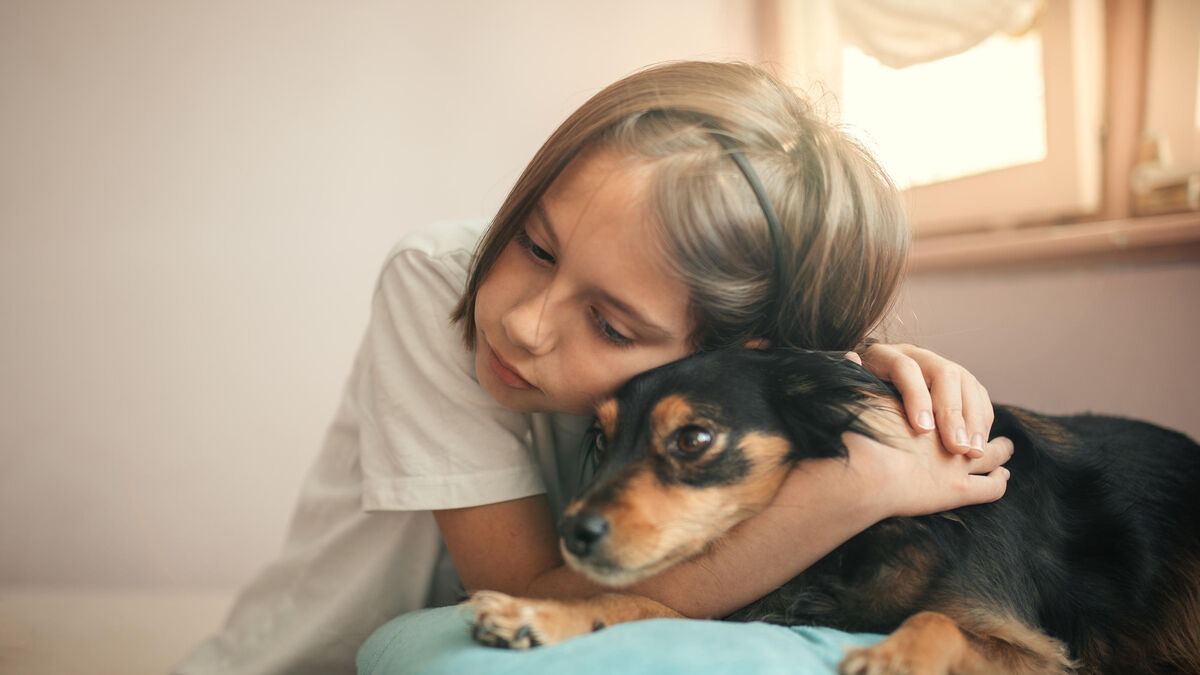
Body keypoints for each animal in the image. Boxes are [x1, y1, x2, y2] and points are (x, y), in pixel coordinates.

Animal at [465, 348, 1200, 667]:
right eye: (605, 439)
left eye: (693, 440)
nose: (571, 533)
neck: (851, 544)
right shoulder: (760, 606)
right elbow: (641, 602)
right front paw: (541, 614)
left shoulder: (1042, 655)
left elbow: (938, 618)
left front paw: (894, 659)